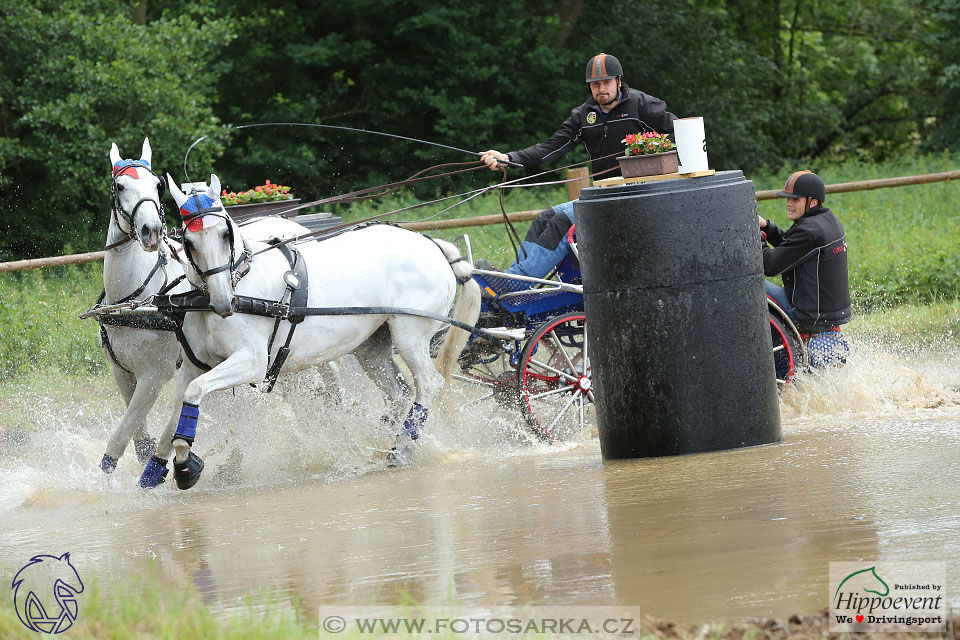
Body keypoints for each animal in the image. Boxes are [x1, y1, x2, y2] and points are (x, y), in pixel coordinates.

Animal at [100, 138, 314, 472]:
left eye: (157, 185)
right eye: (120, 186)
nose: (150, 231)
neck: (136, 299)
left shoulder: (153, 376)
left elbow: (120, 436)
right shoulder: (123, 373)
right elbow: (138, 439)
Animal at [135, 172, 480, 488]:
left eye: (225, 233)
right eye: (189, 242)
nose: (223, 302)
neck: (241, 286)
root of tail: (432, 245)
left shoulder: (251, 363)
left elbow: (193, 395)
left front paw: (186, 465)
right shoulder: (194, 366)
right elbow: (175, 413)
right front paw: (153, 474)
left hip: (411, 335)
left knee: (429, 385)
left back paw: (402, 451)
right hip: (372, 345)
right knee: (398, 392)